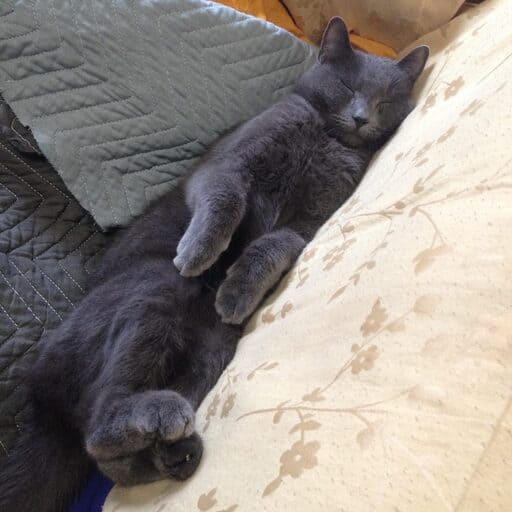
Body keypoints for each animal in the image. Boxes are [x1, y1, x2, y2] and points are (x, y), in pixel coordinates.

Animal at [0, 18, 428, 512]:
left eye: (385, 102)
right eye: (346, 86)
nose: (361, 116)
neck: (324, 137)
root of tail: (43, 412)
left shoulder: (310, 220)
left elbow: (275, 242)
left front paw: (238, 292)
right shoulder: (228, 165)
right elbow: (225, 199)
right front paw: (199, 252)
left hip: (212, 349)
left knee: (104, 451)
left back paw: (173, 449)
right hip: (154, 284)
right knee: (101, 419)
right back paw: (163, 417)